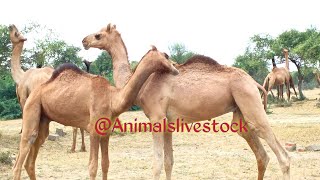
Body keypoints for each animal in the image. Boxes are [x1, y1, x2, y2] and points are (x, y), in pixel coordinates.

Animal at [12, 46, 179, 180]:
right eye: (166, 55)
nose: (176, 67)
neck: (112, 99)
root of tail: (35, 91)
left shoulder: (106, 132)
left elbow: (105, 164)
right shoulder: (92, 130)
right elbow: (92, 167)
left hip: (43, 120)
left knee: (31, 161)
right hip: (31, 107)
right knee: (20, 158)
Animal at [82, 23, 290, 179]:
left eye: (98, 35)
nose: (84, 40)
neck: (143, 83)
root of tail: (253, 81)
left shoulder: (156, 118)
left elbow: (157, 164)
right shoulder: (167, 123)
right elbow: (168, 162)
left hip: (250, 100)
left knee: (283, 156)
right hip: (240, 111)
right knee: (261, 155)